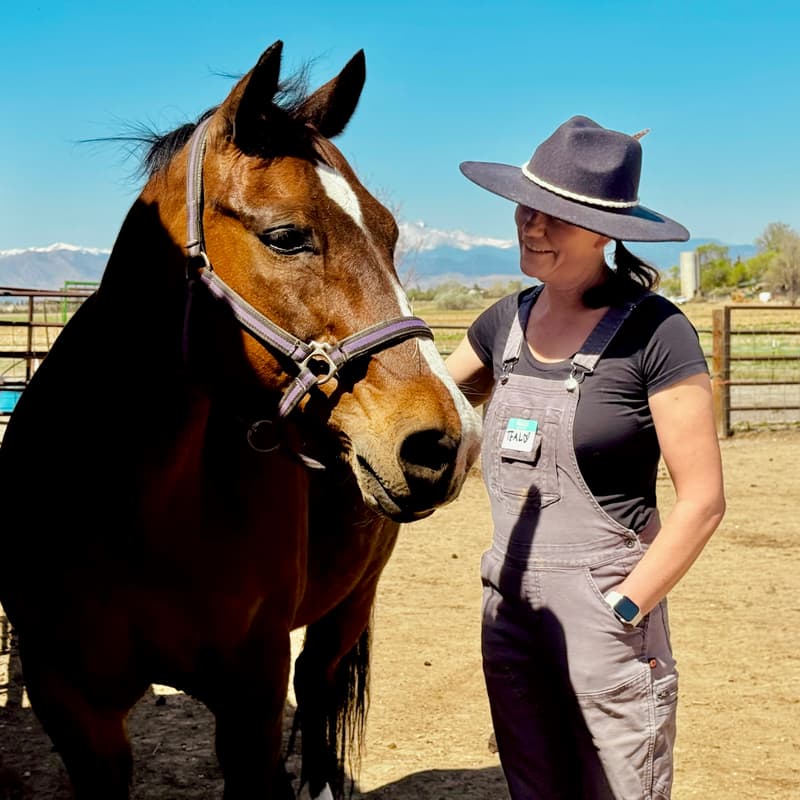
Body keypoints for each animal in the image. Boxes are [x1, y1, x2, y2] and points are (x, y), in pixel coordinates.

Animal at [0, 40, 481, 800]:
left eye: (390, 233)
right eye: (285, 236)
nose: (448, 440)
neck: (131, 502)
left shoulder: (252, 697)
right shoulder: (72, 705)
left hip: (349, 604)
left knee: (319, 687)